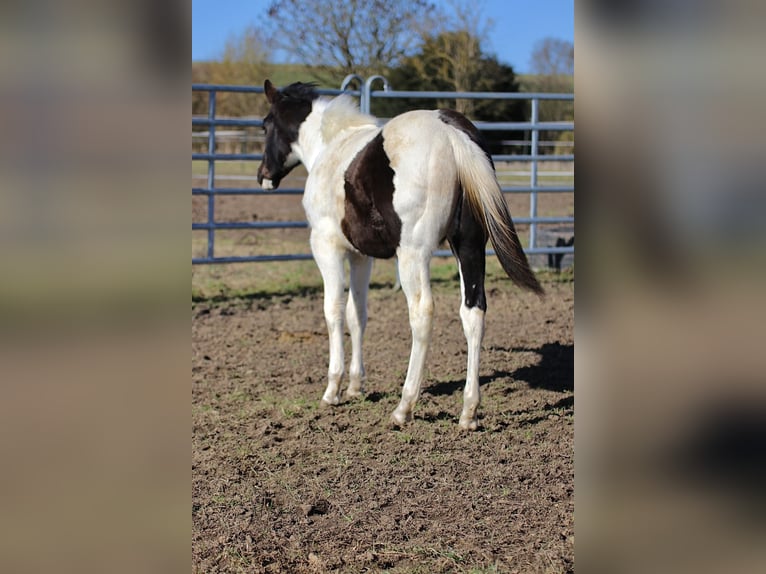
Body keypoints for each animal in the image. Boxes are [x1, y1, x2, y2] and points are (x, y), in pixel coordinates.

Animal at [257, 80, 543, 430]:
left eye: (265, 125)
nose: (263, 175)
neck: (331, 147)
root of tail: (450, 133)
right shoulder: (360, 257)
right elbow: (357, 313)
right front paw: (355, 386)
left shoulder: (328, 247)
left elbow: (333, 311)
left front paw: (333, 389)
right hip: (469, 248)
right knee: (473, 313)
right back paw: (468, 412)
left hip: (413, 255)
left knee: (422, 313)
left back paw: (404, 407)